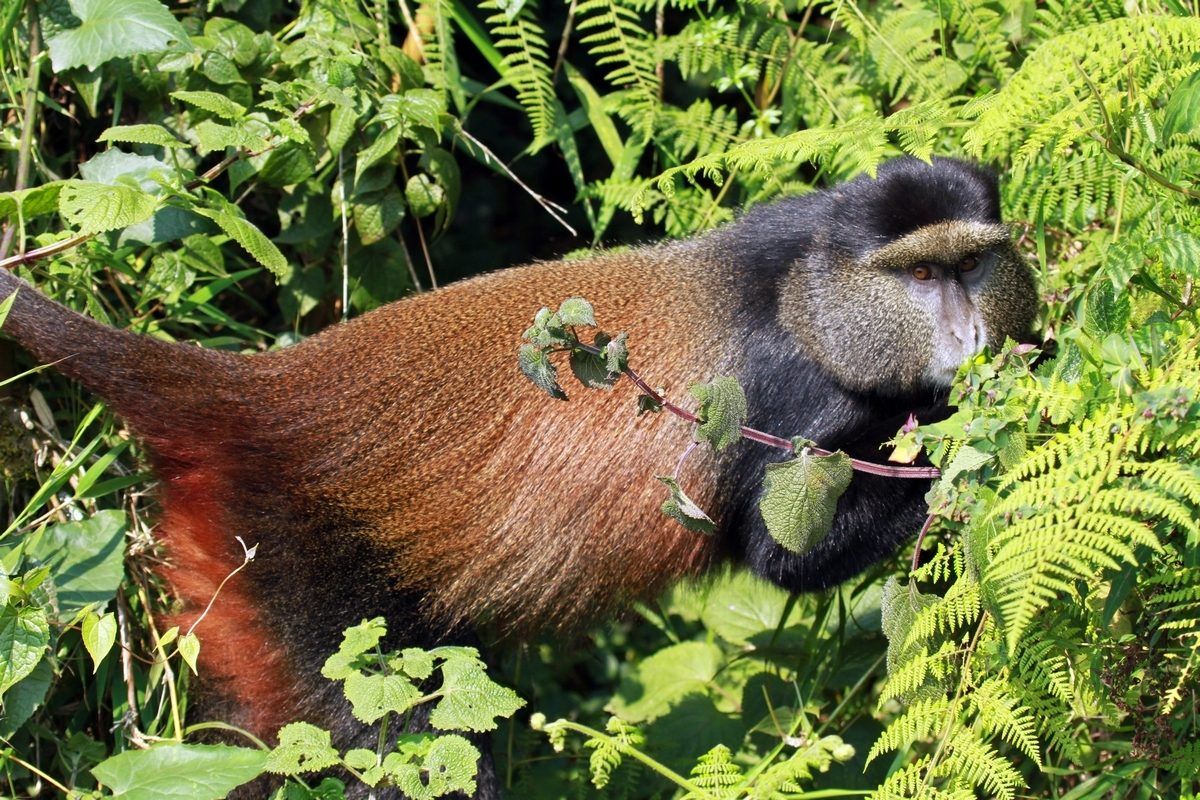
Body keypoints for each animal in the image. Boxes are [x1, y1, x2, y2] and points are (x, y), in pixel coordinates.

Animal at [0, 156, 1037, 798]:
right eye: (919, 279)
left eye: (973, 266)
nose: (965, 333)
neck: (806, 285)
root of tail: (254, 394)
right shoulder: (785, 396)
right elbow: (787, 553)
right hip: (302, 583)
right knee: (405, 743)